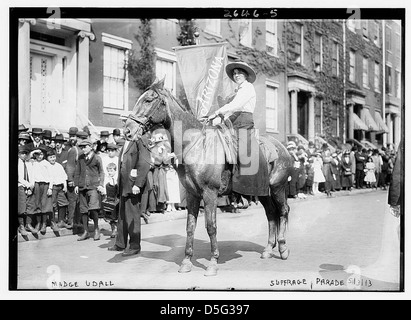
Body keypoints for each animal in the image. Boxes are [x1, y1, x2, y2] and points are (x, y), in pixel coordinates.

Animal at [124, 79, 294, 276]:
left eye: (148, 100)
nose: (128, 131)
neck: (196, 145)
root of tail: (282, 148)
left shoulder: (209, 193)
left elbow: (211, 227)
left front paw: (213, 262)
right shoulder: (192, 194)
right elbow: (190, 227)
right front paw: (186, 261)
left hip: (277, 188)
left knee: (283, 211)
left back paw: (283, 248)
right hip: (263, 192)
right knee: (271, 214)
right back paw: (268, 249)